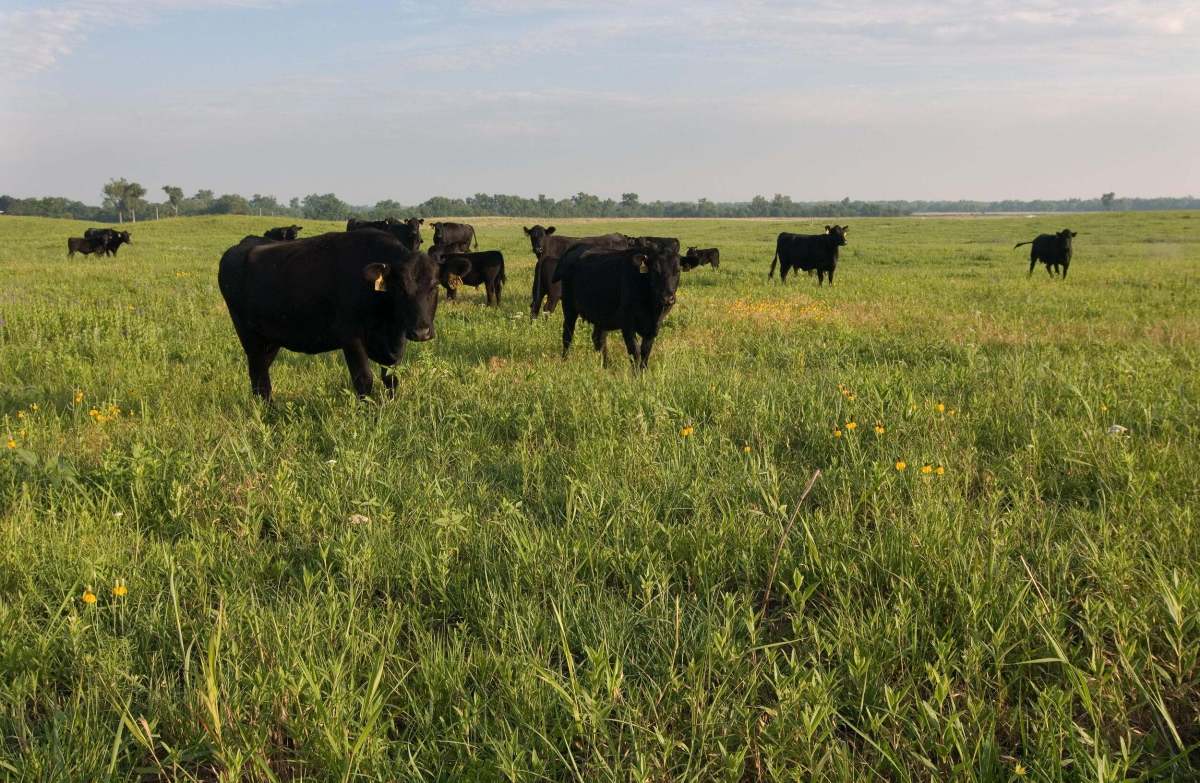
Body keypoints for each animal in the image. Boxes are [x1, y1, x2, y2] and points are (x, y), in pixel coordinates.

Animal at [217, 230, 467, 400]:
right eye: (400, 288)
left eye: (434, 286)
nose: (420, 331)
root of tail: (245, 244)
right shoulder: (351, 336)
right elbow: (364, 378)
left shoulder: (395, 342)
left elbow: (391, 378)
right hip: (249, 335)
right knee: (258, 374)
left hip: (270, 339)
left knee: (262, 375)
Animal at [552, 243, 681, 369]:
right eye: (655, 270)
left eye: (677, 271)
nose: (667, 297)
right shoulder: (627, 324)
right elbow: (635, 351)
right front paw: (636, 373)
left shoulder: (653, 328)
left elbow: (645, 352)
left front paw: (643, 372)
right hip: (569, 307)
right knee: (567, 335)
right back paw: (565, 361)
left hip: (601, 315)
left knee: (599, 339)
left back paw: (605, 365)